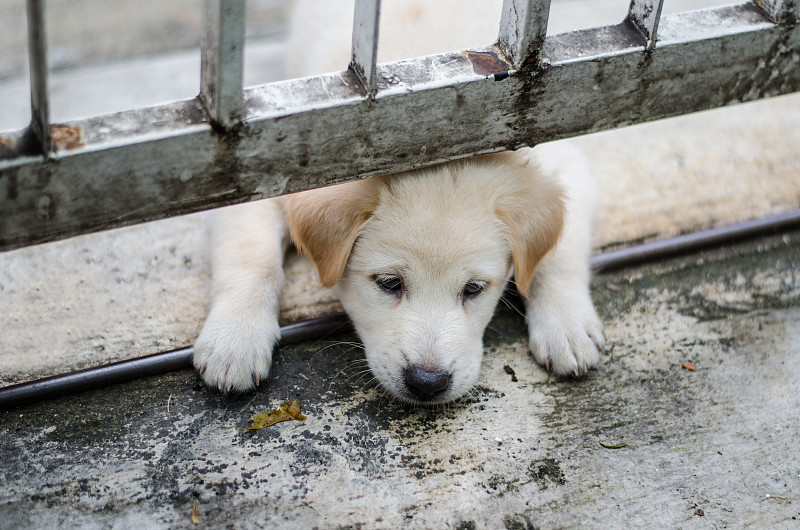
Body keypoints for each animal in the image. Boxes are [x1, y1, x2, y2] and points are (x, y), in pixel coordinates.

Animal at [194, 0, 604, 400]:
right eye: (389, 283)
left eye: (474, 289)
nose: (427, 384)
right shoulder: (259, 179)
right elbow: (253, 257)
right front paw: (235, 338)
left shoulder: (560, 160)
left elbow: (560, 253)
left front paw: (568, 325)